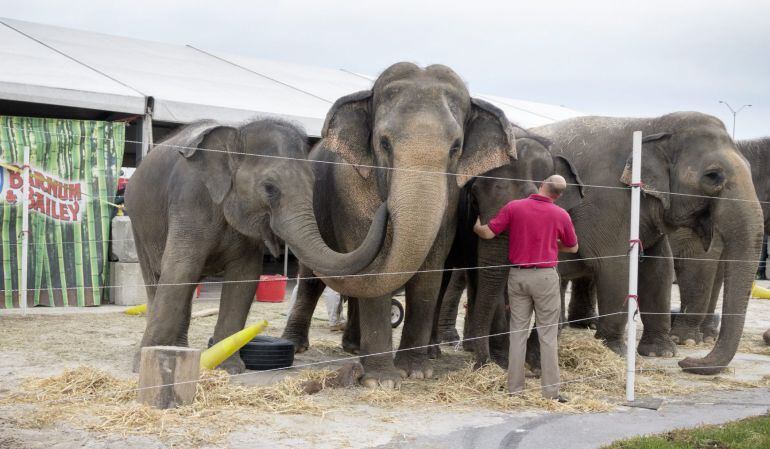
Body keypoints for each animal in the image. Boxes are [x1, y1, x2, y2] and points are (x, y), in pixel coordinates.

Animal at [127, 117, 390, 372]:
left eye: (314, 184)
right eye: (270, 189)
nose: (385, 207)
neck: (237, 135)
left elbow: (244, 278)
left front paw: (229, 367)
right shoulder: (190, 200)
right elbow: (180, 269)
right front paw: (141, 364)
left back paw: (179, 348)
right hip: (138, 226)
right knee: (157, 278)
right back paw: (171, 348)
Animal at [280, 61, 512, 386]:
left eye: (456, 147)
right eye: (384, 143)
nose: (386, 210)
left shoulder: (450, 202)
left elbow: (430, 271)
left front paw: (415, 372)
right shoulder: (350, 190)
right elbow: (376, 268)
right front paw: (382, 381)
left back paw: (354, 348)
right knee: (312, 279)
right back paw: (297, 345)